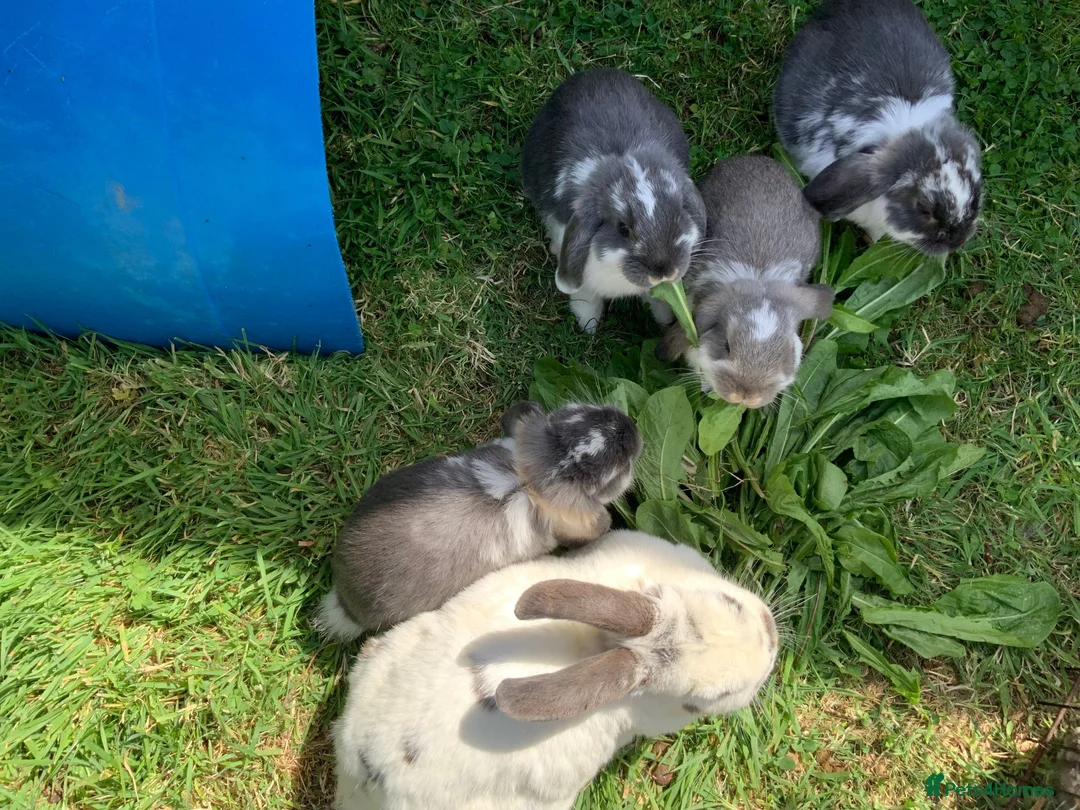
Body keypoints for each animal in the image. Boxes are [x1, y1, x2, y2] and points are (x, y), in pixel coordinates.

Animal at [521, 68, 707, 333]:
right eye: (622, 228)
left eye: (680, 215)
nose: (663, 272)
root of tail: (595, 72)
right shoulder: (585, 281)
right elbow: (585, 301)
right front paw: (588, 328)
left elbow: (658, 303)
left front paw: (664, 320)